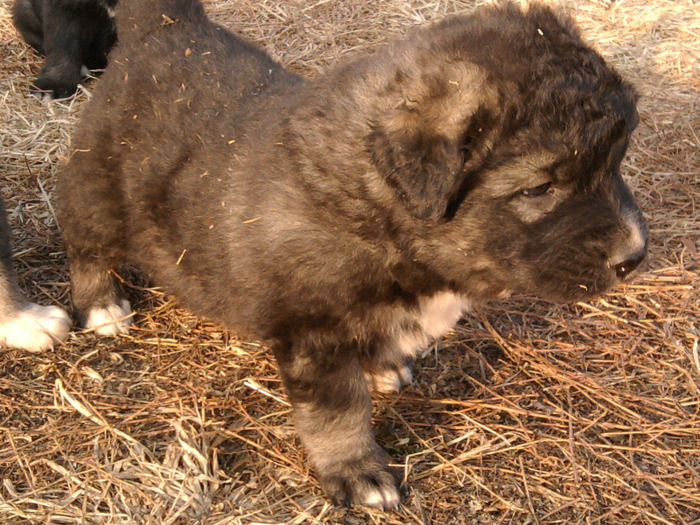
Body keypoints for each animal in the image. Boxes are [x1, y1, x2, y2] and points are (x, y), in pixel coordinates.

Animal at [57, 0, 648, 508]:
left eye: (617, 162)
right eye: (540, 188)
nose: (634, 257)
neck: (376, 210)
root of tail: (164, 28)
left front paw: (383, 364)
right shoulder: (313, 333)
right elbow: (338, 413)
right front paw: (357, 471)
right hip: (97, 194)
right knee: (84, 246)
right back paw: (101, 304)